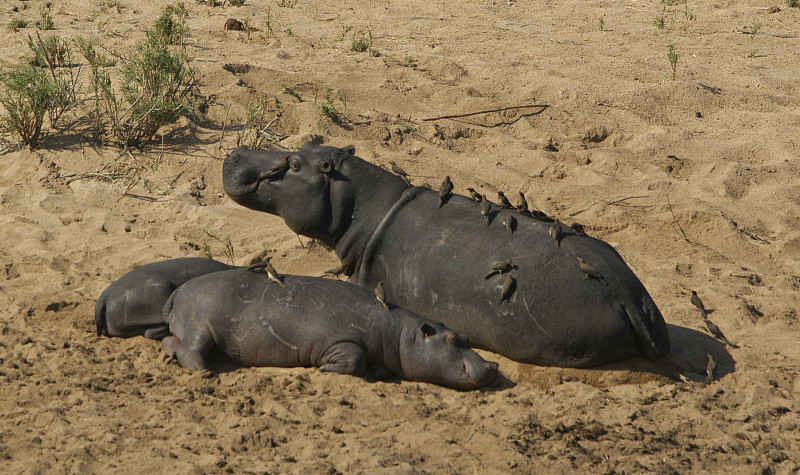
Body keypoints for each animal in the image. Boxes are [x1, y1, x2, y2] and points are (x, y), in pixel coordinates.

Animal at [161, 272, 500, 390]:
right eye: (452, 339)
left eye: (465, 337)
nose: (494, 365)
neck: (399, 332)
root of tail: (178, 290)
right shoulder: (340, 341)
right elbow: (355, 358)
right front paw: (325, 369)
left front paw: (379, 372)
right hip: (201, 324)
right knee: (191, 349)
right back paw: (205, 373)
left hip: (191, 327)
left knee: (170, 341)